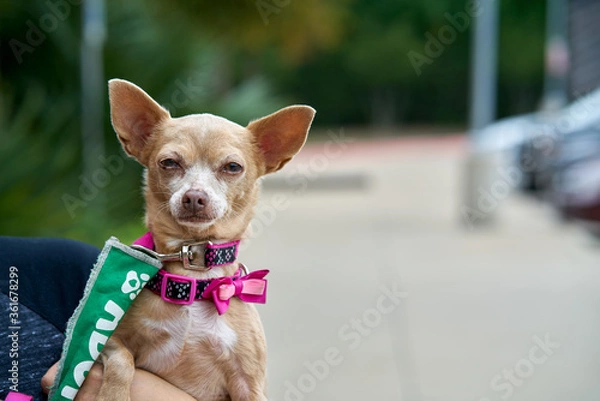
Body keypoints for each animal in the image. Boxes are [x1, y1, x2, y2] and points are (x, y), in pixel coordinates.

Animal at [98, 79, 314, 400]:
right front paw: (112, 394)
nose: (194, 197)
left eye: (233, 167)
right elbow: (122, 359)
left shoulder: (249, 386)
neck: (196, 271)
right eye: (169, 163)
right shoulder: (108, 342)